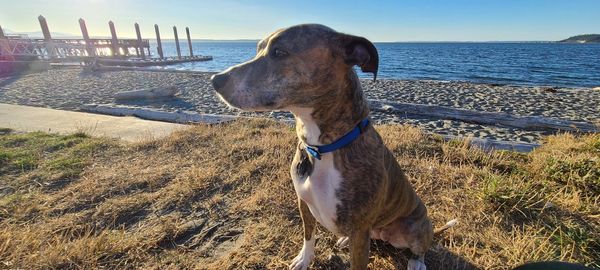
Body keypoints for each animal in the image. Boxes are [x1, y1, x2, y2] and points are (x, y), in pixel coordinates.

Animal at [212, 24, 454, 270]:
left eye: (279, 52)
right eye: (258, 49)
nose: (215, 80)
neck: (322, 148)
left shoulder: (360, 231)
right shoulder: (304, 204)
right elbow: (308, 235)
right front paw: (304, 258)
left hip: (414, 227)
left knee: (420, 247)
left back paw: (417, 262)